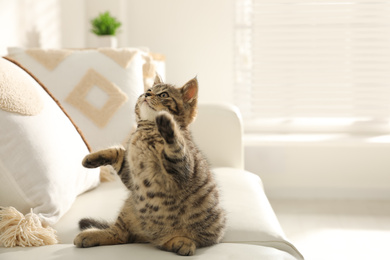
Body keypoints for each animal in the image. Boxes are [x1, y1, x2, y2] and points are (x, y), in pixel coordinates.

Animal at [74, 74, 225, 256]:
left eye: (164, 95)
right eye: (148, 90)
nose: (146, 94)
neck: (146, 131)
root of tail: (149, 236)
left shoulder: (182, 167)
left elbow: (175, 145)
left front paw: (167, 124)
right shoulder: (131, 177)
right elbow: (117, 153)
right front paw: (91, 158)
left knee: (176, 241)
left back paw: (182, 242)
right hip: (129, 207)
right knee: (119, 234)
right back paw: (91, 235)